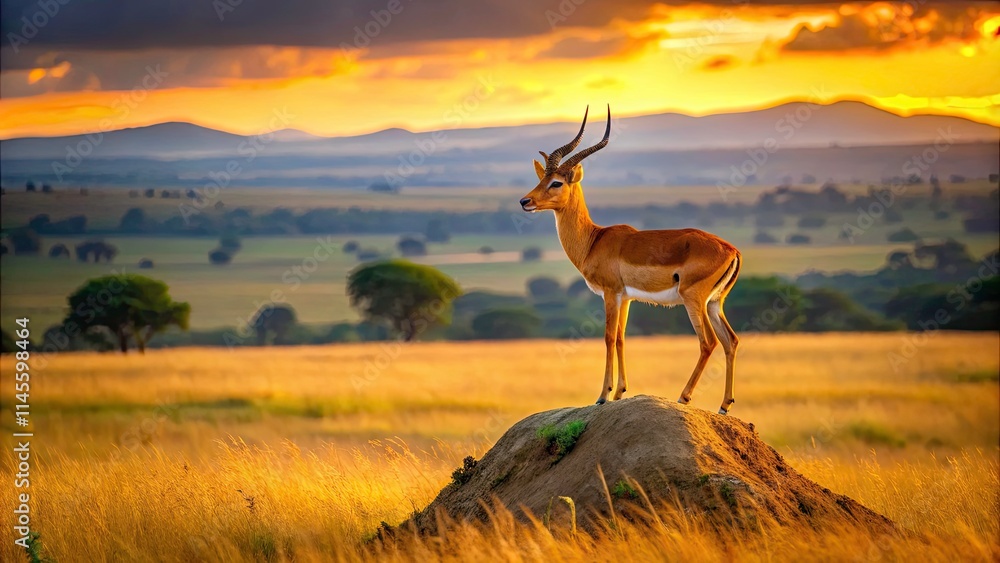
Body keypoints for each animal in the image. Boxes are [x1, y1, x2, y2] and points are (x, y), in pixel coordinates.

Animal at [519, 106, 742, 415]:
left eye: (556, 182)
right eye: (541, 179)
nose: (525, 201)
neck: (594, 240)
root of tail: (732, 250)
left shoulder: (610, 293)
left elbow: (608, 337)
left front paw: (602, 395)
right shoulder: (625, 297)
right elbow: (622, 338)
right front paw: (619, 393)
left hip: (693, 299)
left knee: (708, 342)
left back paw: (683, 397)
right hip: (714, 303)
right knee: (730, 340)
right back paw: (724, 406)